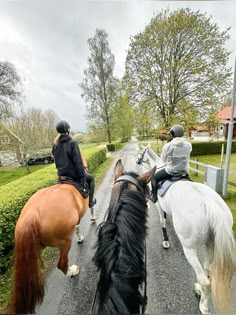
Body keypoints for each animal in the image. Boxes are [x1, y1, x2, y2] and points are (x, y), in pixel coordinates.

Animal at [6, 183, 90, 315]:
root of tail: (33, 213)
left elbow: (77, 226)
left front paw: (79, 238)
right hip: (64, 241)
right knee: (62, 264)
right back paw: (72, 271)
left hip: (33, 250)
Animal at [139, 147, 235, 314]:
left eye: (142, 153)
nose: (138, 160)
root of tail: (208, 202)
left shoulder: (159, 206)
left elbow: (162, 222)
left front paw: (165, 241)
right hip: (211, 244)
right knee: (207, 272)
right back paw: (199, 289)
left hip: (189, 248)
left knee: (205, 280)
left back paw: (203, 305)